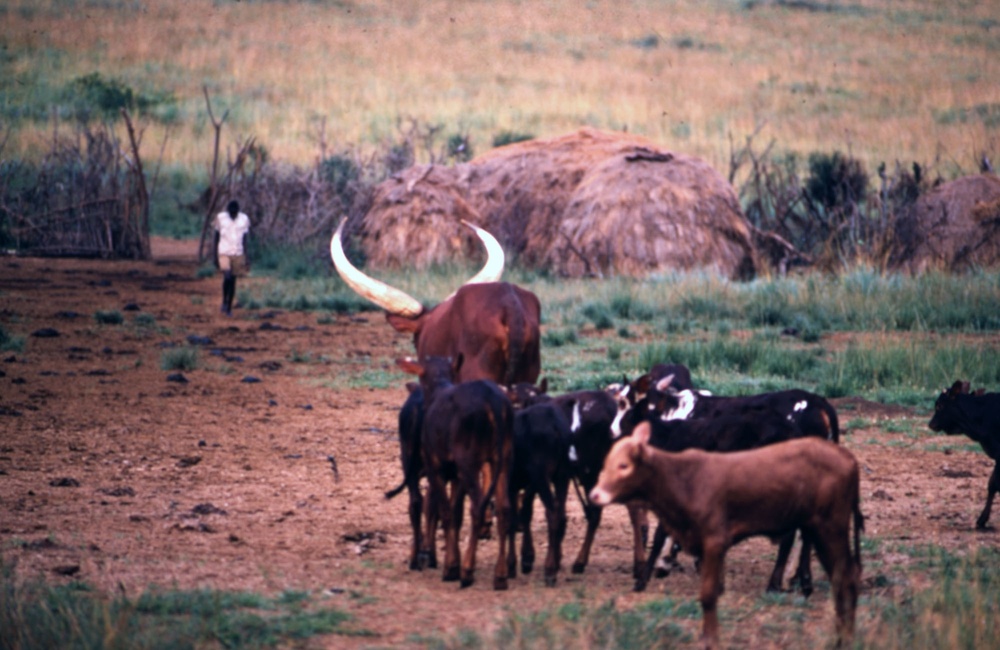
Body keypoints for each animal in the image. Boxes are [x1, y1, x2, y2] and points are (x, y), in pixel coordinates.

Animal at [588, 422, 864, 644]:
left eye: (624, 465)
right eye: (605, 463)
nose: (595, 495)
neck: (683, 479)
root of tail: (848, 458)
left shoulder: (714, 540)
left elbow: (709, 594)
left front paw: (710, 639)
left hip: (831, 527)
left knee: (847, 578)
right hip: (818, 530)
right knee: (839, 579)